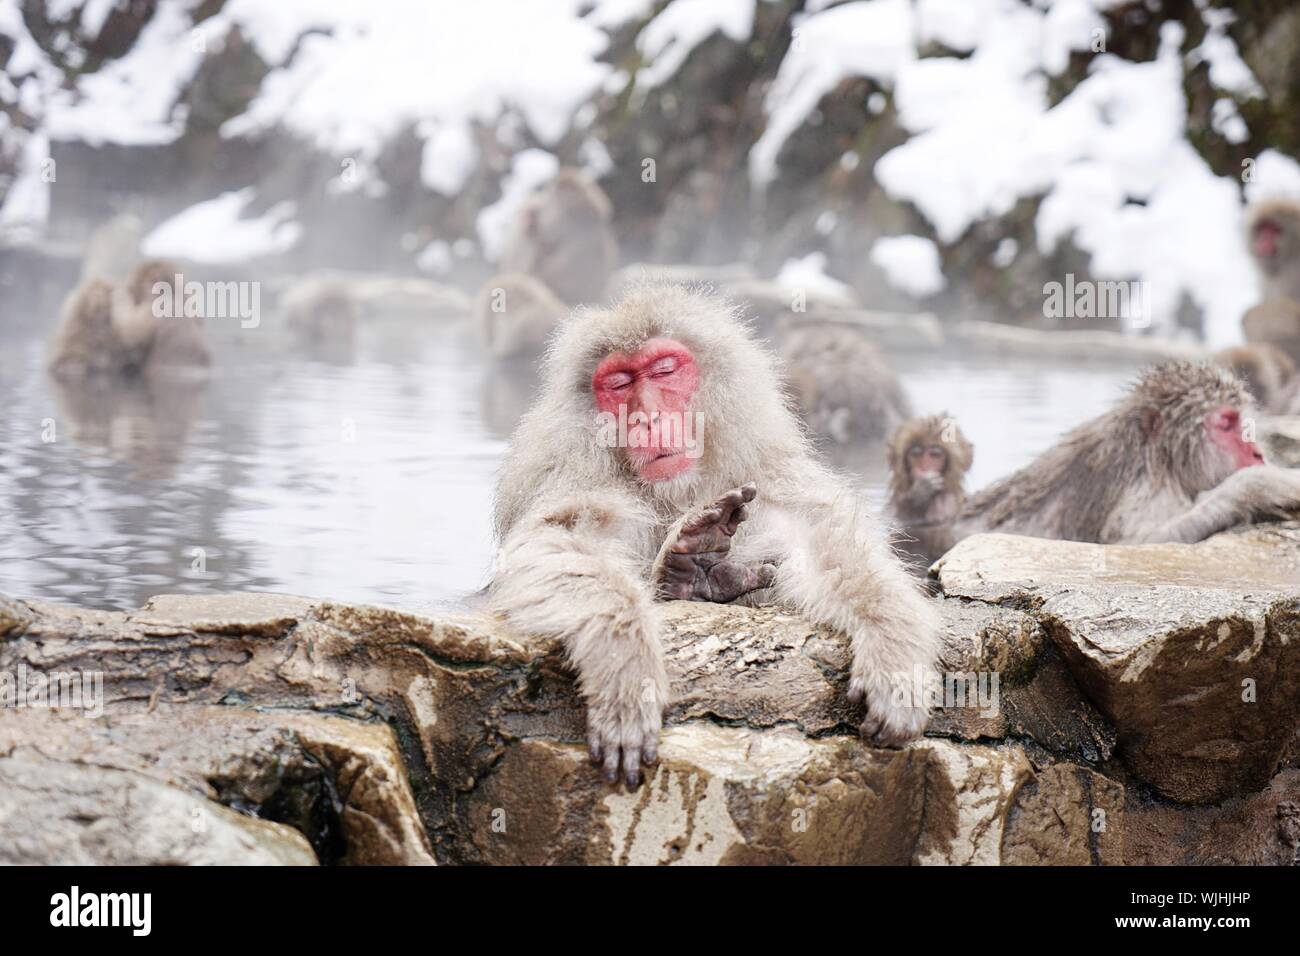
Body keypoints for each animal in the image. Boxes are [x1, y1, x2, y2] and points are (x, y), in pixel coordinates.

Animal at [954, 362, 1300, 546]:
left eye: (1243, 422)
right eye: (1227, 424)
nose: (1256, 453)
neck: (1161, 458)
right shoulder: (1143, 488)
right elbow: (1140, 543)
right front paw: (1264, 484)